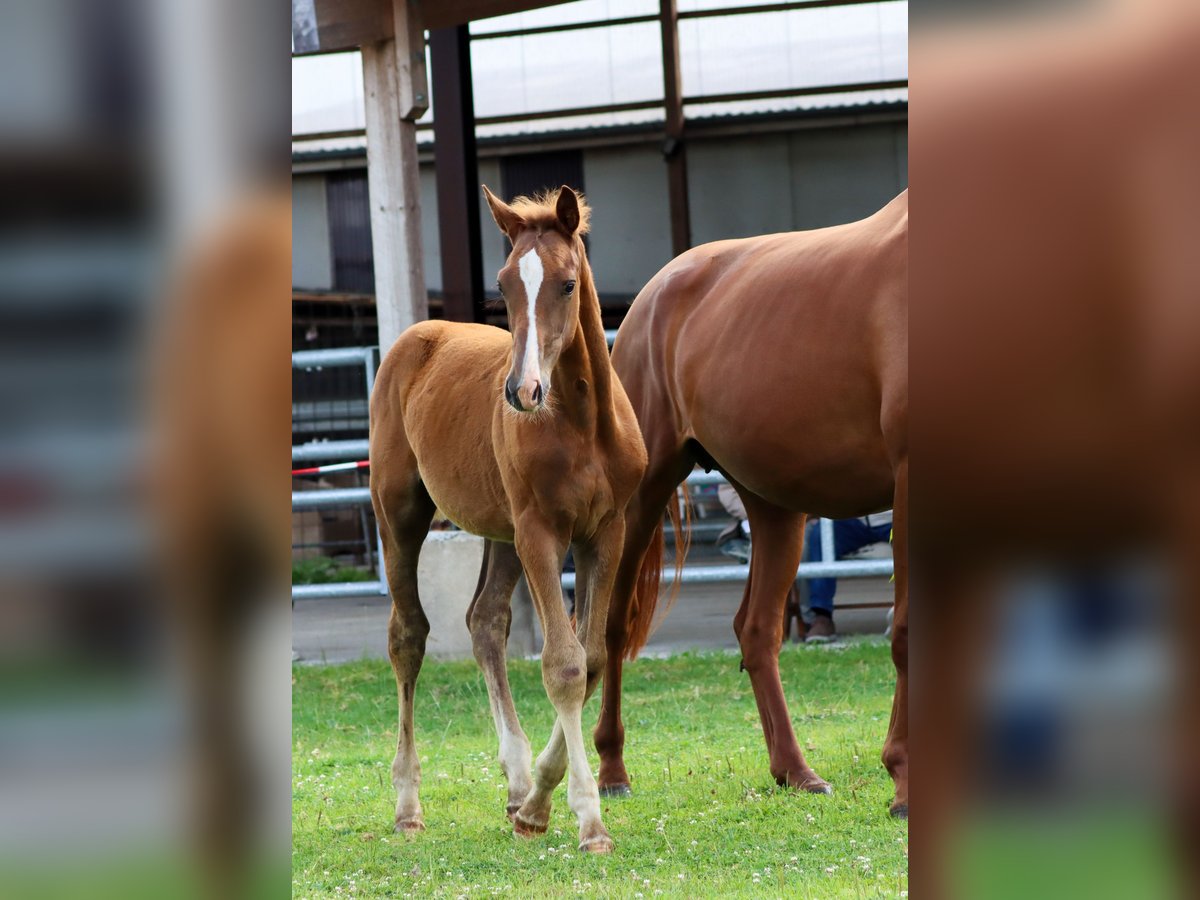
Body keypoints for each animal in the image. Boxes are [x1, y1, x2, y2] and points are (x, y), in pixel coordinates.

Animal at [369, 184, 648, 854]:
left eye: (568, 283)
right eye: (502, 283)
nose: (522, 392)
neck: (582, 425)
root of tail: (415, 337)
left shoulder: (607, 532)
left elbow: (592, 658)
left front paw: (537, 804)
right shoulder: (541, 534)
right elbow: (563, 664)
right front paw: (588, 820)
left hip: (500, 531)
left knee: (485, 622)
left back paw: (518, 782)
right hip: (403, 516)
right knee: (408, 636)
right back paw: (408, 805)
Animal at [595, 194, 902, 820]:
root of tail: (650, 297)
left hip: (774, 507)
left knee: (756, 630)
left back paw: (795, 771)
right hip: (641, 497)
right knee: (615, 622)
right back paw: (612, 769)